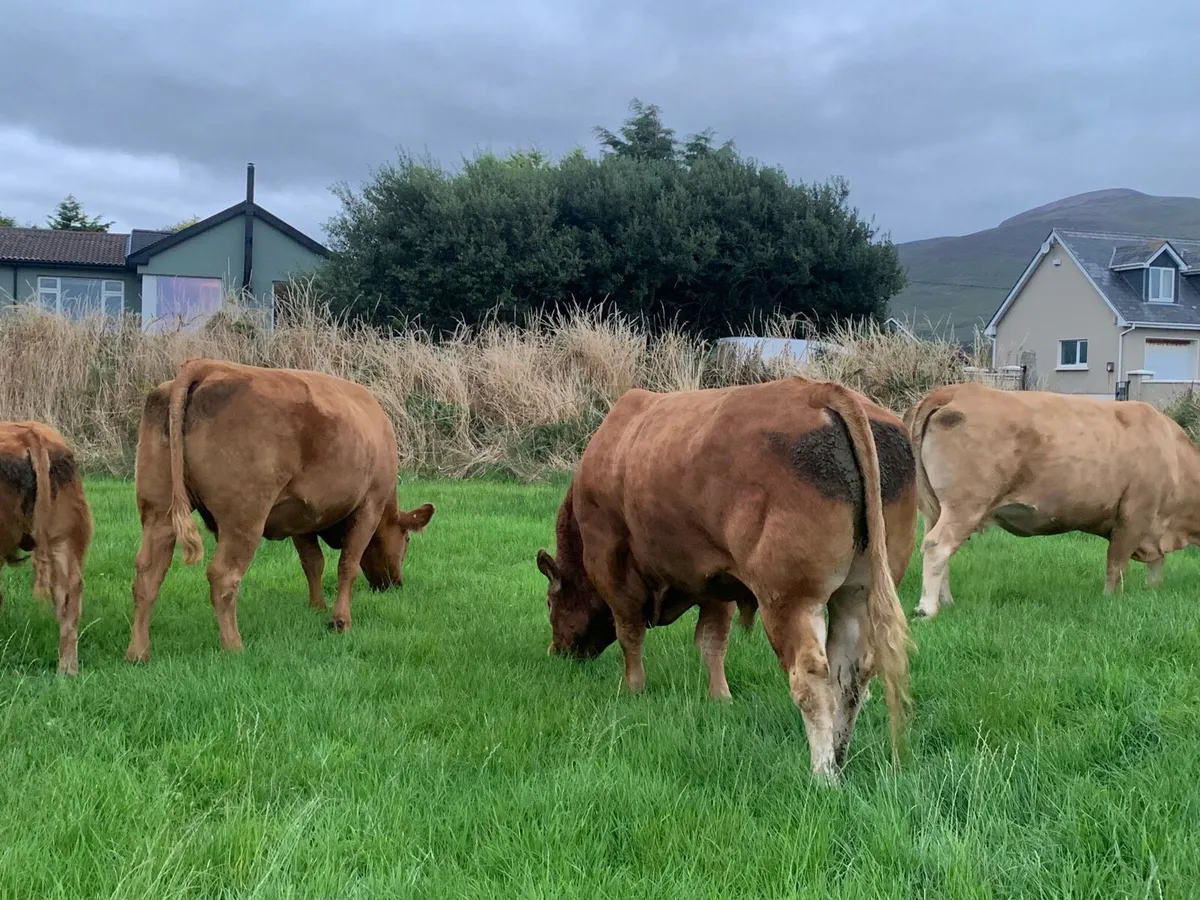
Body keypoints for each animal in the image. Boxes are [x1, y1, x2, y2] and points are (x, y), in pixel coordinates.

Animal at [125, 358, 435, 663]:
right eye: (407, 540)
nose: (394, 584)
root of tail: (207, 366)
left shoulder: (300, 518)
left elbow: (313, 563)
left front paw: (316, 606)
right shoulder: (369, 506)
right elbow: (347, 565)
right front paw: (340, 621)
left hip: (158, 512)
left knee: (147, 575)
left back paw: (138, 652)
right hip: (244, 518)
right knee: (222, 576)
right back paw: (233, 646)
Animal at [534, 376, 917, 781]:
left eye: (549, 602)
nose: (557, 651)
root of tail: (821, 391)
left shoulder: (609, 561)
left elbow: (629, 632)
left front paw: (633, 688)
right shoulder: (714, 579)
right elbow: (712, 642)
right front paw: (719, 697)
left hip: (789, 599)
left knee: (811, 678)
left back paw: (823, 774)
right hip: (857, 592)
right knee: (850, 674)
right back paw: (839, 760)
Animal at [907, 381, 1200, 619]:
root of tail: (954, 391)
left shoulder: (1155, 529)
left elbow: (1155, 566)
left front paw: (1153, 591)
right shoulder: (1134, 516)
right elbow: (1115, 566)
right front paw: (1110, 600)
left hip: (937, 508)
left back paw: (947, 602)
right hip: (965, 506)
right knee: (937, 546)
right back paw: (928, 609)